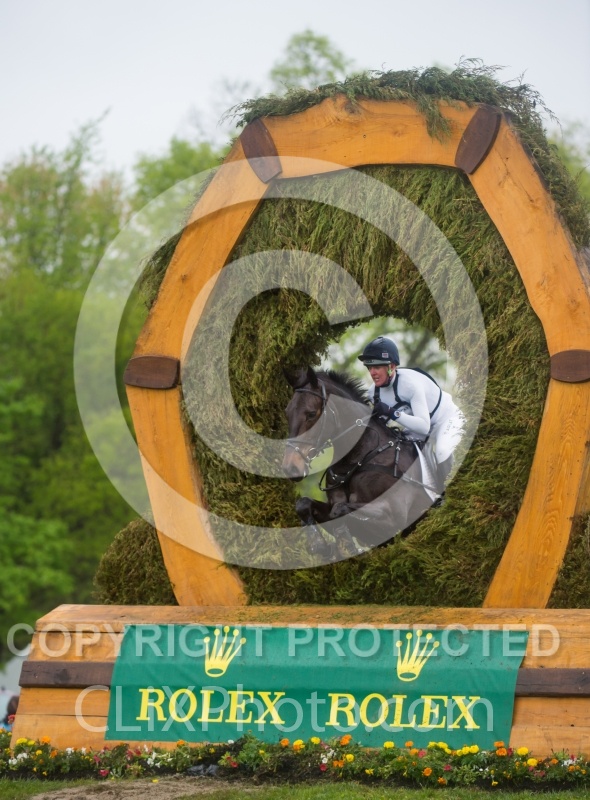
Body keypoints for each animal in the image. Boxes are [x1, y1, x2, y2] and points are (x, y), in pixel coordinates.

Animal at [282, 367, 435, 559]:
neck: (357, 460)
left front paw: (345, 543)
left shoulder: (394, 516)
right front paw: (319, 544)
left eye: (311, 414)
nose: (290, 467)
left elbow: (339, 510)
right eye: (287, 413)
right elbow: (304, 504)